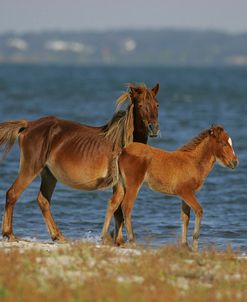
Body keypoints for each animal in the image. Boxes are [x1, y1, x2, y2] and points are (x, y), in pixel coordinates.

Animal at [0, 82, 160, 241]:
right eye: (140, 105)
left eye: (157, 104)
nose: (154, 128)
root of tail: (29, 125)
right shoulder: (119, 182)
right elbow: (118, 209)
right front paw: (118, 240)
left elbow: (118, 210)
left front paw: (118, 240)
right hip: (31, 168)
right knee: (12, 194)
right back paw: (10, 234)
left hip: (48, 174)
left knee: (43, 201)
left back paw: (58, 236)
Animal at [101, 124, 238, 251]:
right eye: (223, 144)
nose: (235, 162)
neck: (194, 162)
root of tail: (123, 151)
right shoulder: (185, 192)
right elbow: (199, 210)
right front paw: (194, 246)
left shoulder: (185, 195)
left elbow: (185, 217)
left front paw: (185, 245)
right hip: (133, 185)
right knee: (126, 206)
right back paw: (133, 241)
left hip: (121, 185)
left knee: (112, 204)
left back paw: (104, 238)